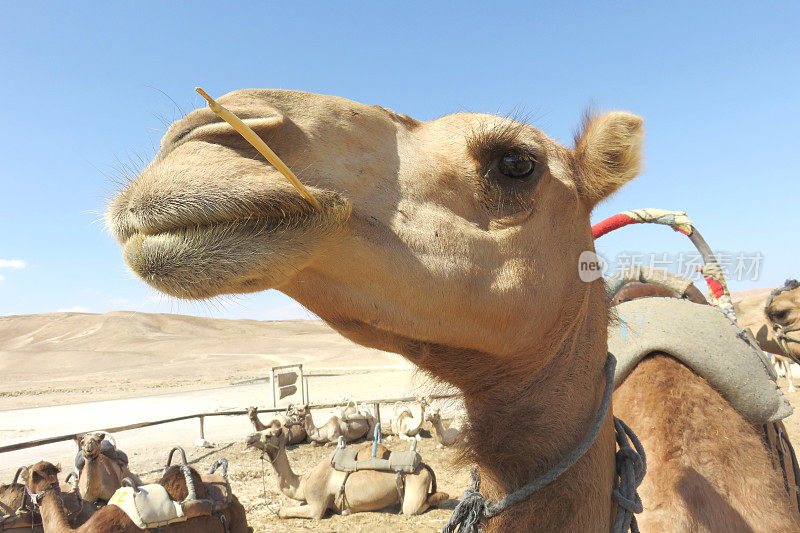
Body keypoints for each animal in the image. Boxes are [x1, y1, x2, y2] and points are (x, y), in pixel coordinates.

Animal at [245, 424, 444, 516]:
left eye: (268, 435)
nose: (248, 438)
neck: (303, 482)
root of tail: (423, 465)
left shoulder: (317, 506)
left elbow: (283, 511)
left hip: (416, 484)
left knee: (415, 506)